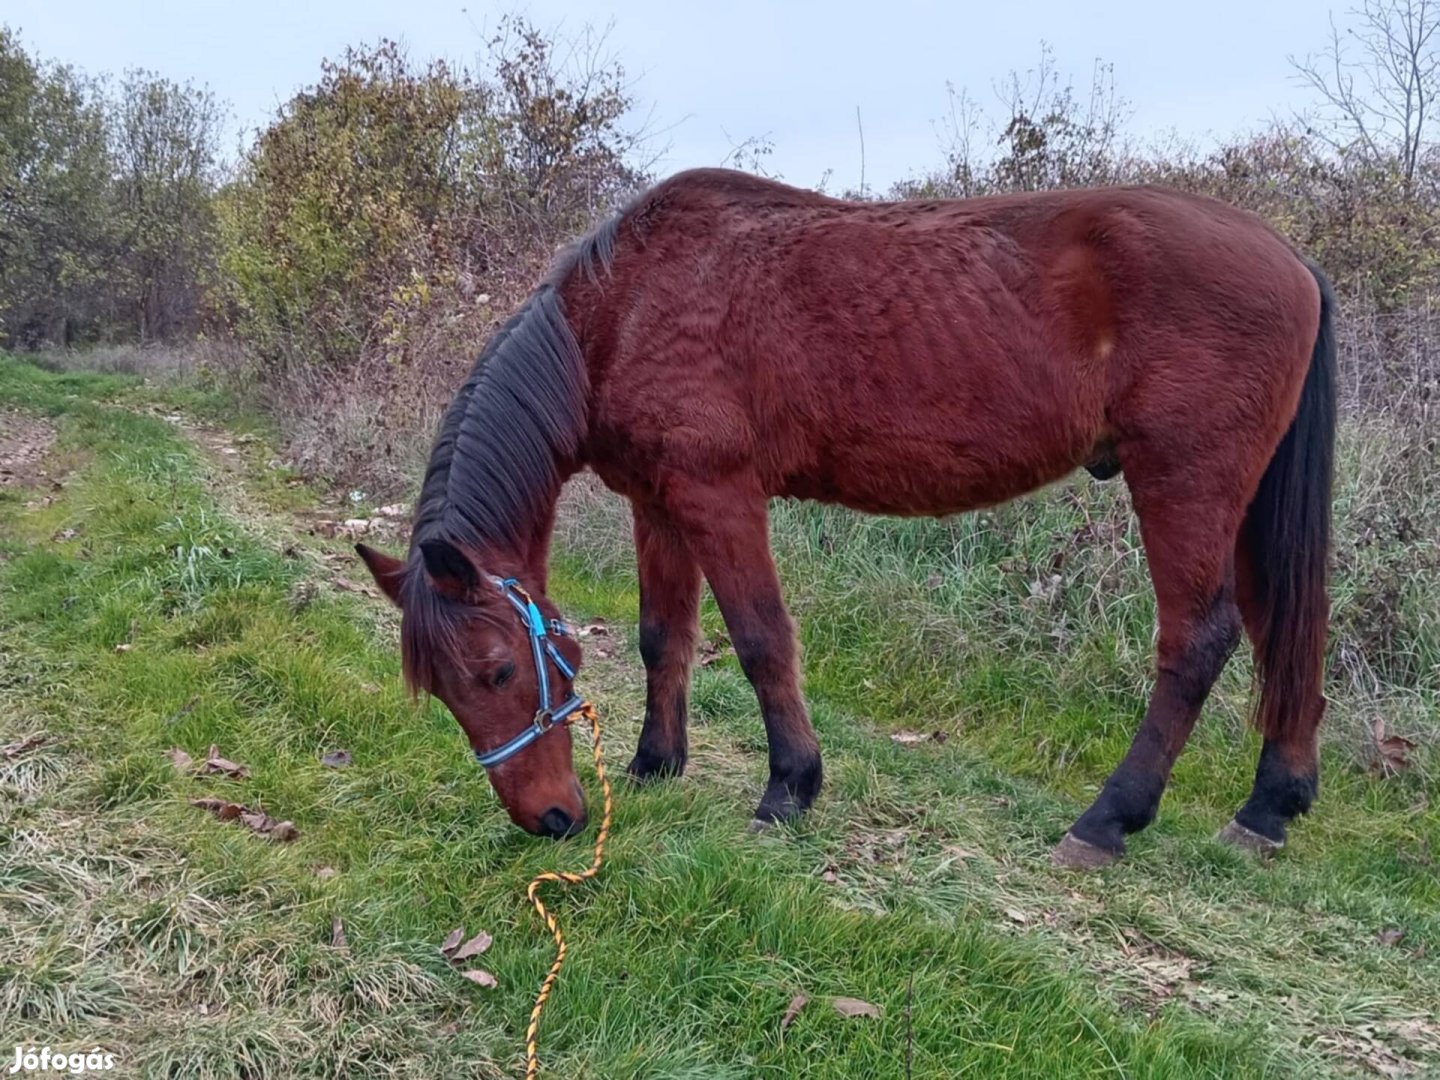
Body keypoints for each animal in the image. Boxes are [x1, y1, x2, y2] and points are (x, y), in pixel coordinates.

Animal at [354, 169, 1330, 869]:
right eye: (446, 691)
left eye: (494, 671)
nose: (548, 819)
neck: (623, 306)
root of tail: (1290, 260)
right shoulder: (658, 502)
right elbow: (664, 636)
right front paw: (654, 765)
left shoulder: (718, 495)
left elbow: (758, 639)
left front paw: (789, 788)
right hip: (1241, 506)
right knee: (1287, 634)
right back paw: (1268, 807)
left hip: (1184, 486)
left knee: (1199, 640)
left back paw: (1107, 819)